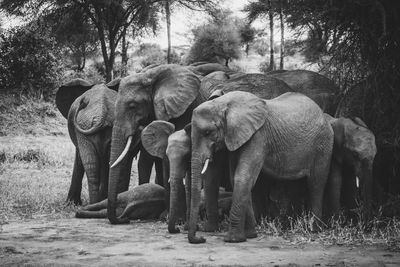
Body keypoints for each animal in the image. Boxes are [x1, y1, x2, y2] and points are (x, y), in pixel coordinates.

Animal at [107, 63, 203, 225]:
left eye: (132, 106)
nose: (123, 219)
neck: (150, 75)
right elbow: (166, 159)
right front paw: (167, 217)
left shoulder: (185, 110)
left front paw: (176, 220)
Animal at [189, 92, 332, 245]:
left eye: (207, 132)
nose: (201, 238)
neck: (223, 103)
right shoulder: (237, 137)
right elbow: (238, 179)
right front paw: (250, 235)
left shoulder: (258, 137)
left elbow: (243, 177)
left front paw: (233, 239)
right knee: (296, 187)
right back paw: (290, 226)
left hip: (323, 144)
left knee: (316, 184)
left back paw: (314, 229)